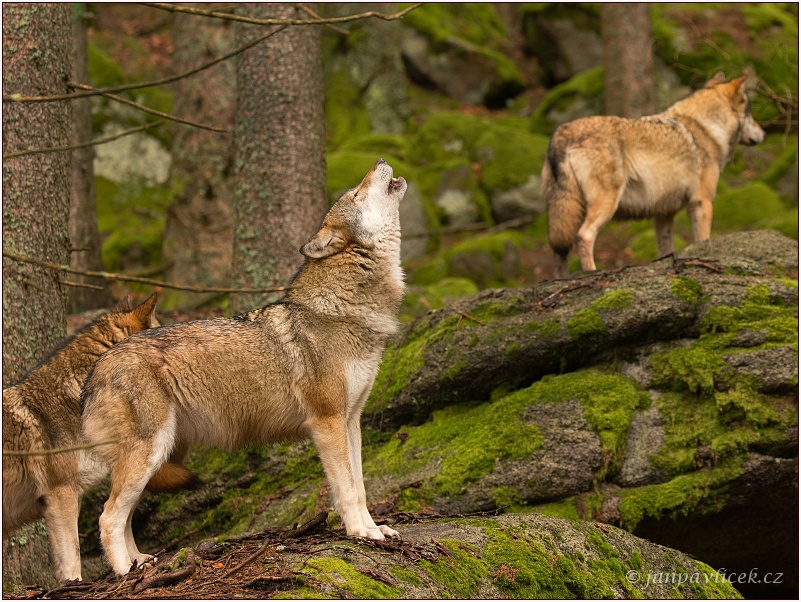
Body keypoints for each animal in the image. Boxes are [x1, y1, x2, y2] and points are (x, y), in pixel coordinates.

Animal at [81, 157, 406, 576]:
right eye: (356, 192)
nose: (380, 161)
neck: (345, 310)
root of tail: (96, 370)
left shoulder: (351, 421)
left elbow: (361, 485)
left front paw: (374, 529)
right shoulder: (327, 422)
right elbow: (347, 489)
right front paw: (360, 533)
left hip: (155, 460)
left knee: (123, 516)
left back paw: (141, 563)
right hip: (149, 454)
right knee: (107, 516)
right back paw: (124, 573)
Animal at [544, 71, 764, 276]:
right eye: (751, 112)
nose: (764, 133)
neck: (705, 129)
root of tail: (563, 133)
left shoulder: (663, 214)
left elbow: (665, 249)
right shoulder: (701, 202)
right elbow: (703, 239)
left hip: (564, 214)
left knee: (560, 249)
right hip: (604, 206)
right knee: (584, 235)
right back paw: (591, 272)